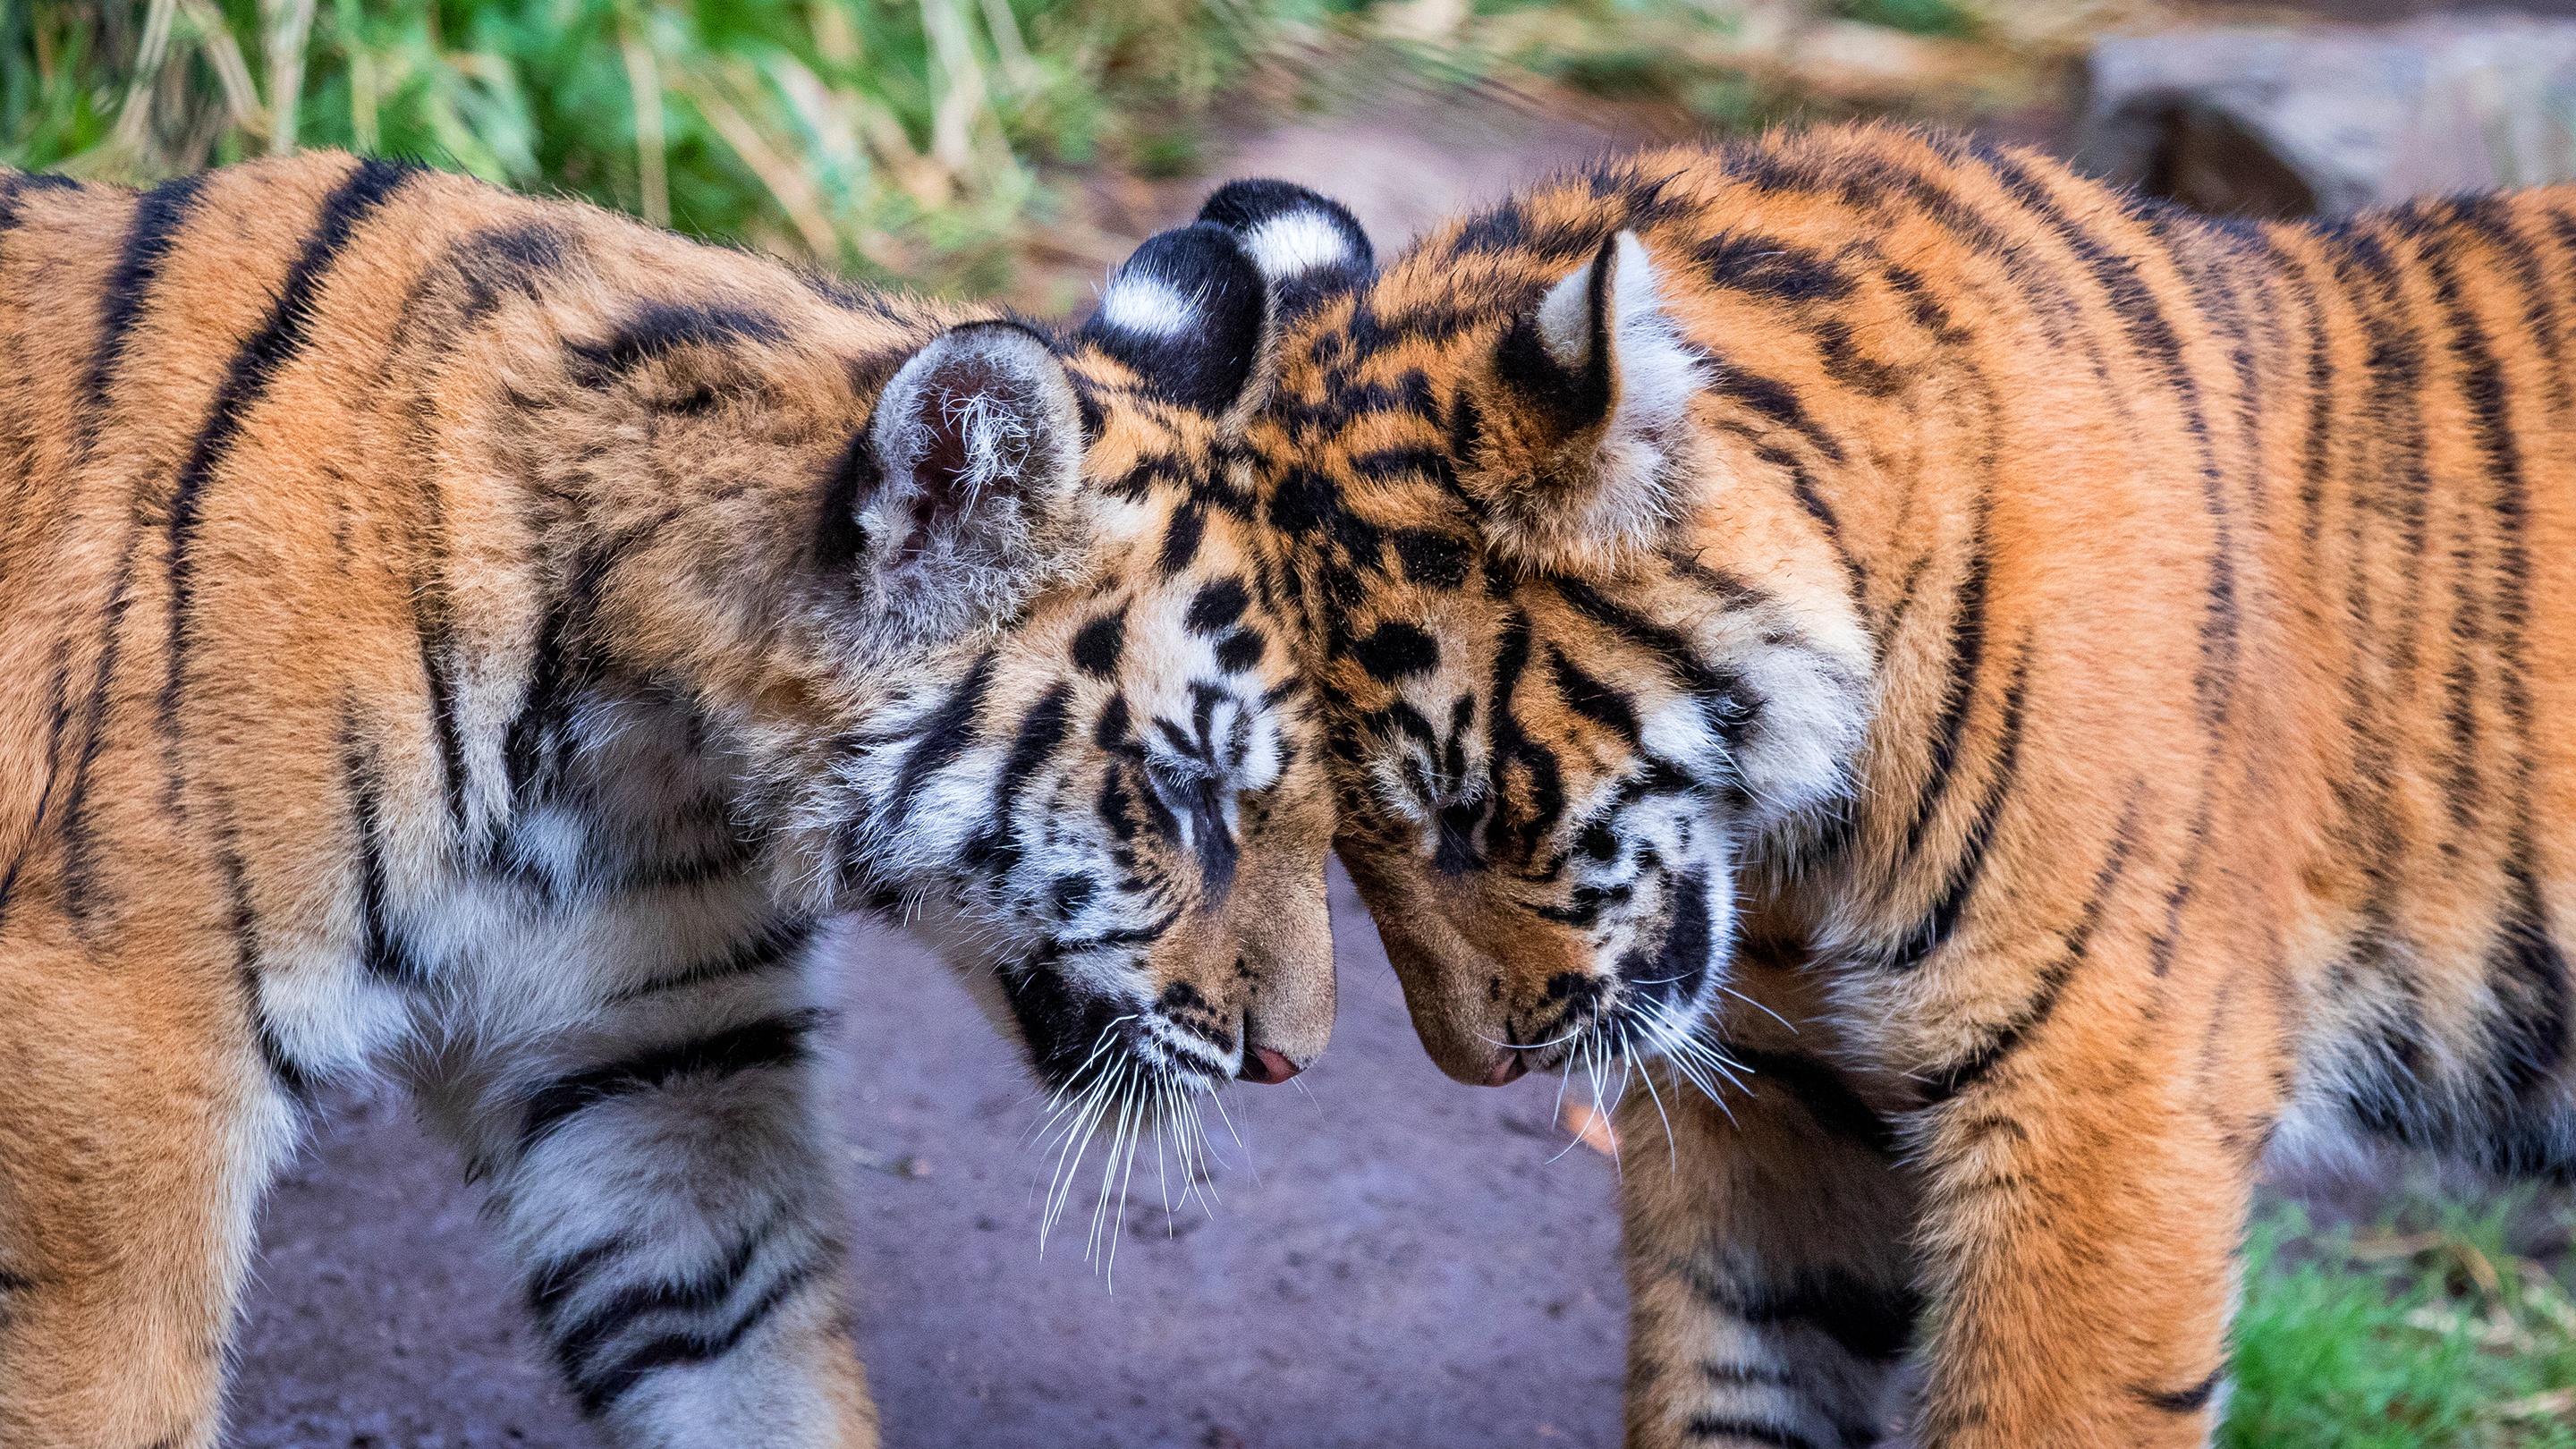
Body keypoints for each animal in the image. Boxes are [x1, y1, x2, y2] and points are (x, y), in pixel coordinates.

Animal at [0, 155, 1329, 1444]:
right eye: (1184, 787)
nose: (1291, 1063)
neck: (640, 755)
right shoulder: (122, 1070)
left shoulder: (657, 1068)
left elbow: (757, 1367)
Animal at [1195, 126, 2576, 1444]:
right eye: (1342, 846)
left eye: (1465, 808)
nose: (1486, 1071)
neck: (1796, 840)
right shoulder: (1780, 1103)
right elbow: (1728, 1385)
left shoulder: (2098, 1112)